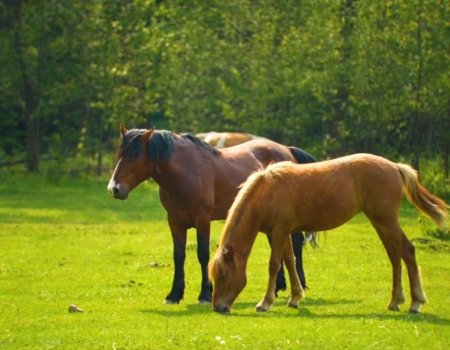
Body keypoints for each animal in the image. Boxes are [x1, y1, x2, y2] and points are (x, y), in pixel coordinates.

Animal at [107, 128, 314, 304]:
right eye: (119, 154)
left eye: (134, 156)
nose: (114, 189)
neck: (185, 172)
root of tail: (287, 150)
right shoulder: (174, 221)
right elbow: (178, 255)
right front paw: (174, 294)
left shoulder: (203, 220)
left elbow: (203, 254)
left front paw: (205, 293)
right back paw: (279, 286)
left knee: (295, 244)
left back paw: (300, 284)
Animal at [209, 154, 448, 314]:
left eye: (224, 275)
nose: (218, 307)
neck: (268, 191)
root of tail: (395, 166)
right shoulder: (284, 232)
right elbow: (290, 261)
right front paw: (295, 298)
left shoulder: (279, 231)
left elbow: (274, 264)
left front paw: (265, 303)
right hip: (380, 222)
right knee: (396, 256)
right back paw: (397, 301)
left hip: (386, 221)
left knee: (406, 252)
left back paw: (415, 303)